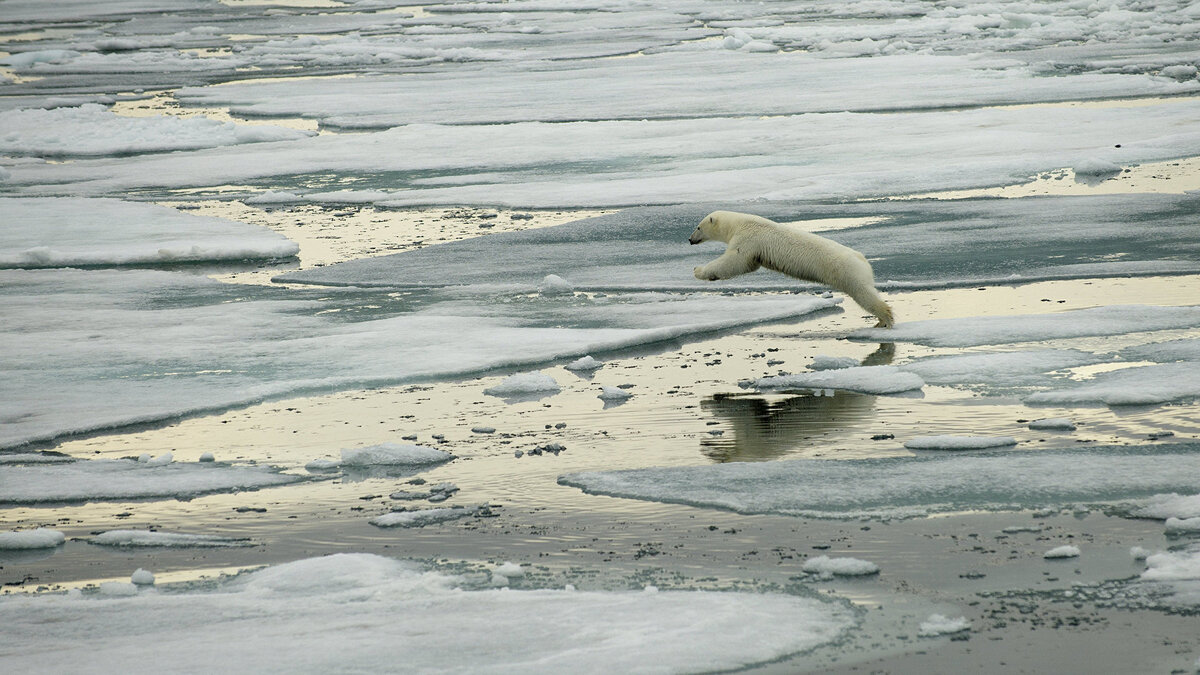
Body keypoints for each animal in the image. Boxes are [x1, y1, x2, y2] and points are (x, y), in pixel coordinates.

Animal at [691, 208, 897, 326]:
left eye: (698, 227)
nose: (690, 239)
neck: (739, 223)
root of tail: (863, 261)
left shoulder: (748, 239)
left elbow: (735, 261)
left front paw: (698, 271)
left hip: (847, 272)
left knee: (864, 294)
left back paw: (885, 320)